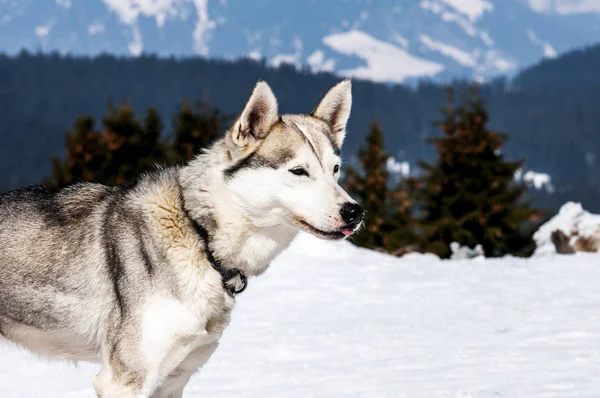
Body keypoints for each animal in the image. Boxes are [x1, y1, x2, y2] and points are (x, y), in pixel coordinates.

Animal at [0, 79, 360, 396]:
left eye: (335, 170)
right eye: (299, 171)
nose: (355, 212)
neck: (199, 236)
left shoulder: (173, 381)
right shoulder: (124, 382)